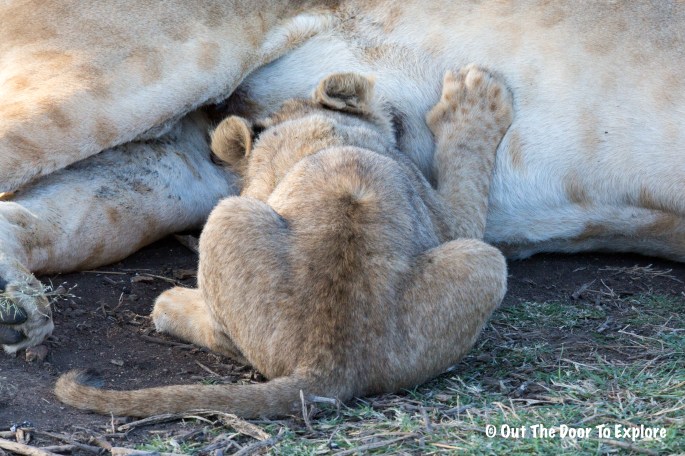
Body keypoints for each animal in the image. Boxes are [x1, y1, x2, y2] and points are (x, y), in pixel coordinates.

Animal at [54, 66, 512, 417]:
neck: (323, 133)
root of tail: (328, 363)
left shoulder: (454, 223)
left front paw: (476, 98)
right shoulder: (445, 220)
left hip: (228, 215)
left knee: (227, 339)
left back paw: (170, 304)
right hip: (482, 261)